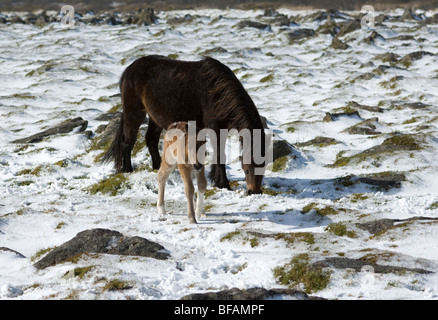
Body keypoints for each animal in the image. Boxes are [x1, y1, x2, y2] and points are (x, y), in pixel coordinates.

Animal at [102, 54, 266, 194]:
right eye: (247, 168)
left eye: (263, 166)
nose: (254, 191)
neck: (219, 94)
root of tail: (128, 71)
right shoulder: (215, 129)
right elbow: (220, 156)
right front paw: (223, 184)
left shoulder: (222, 130)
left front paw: (217, 180)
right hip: (134, 113)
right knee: (127, 142)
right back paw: (127, 170)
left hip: (154, 117)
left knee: (151, 140)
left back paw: (157, 167)